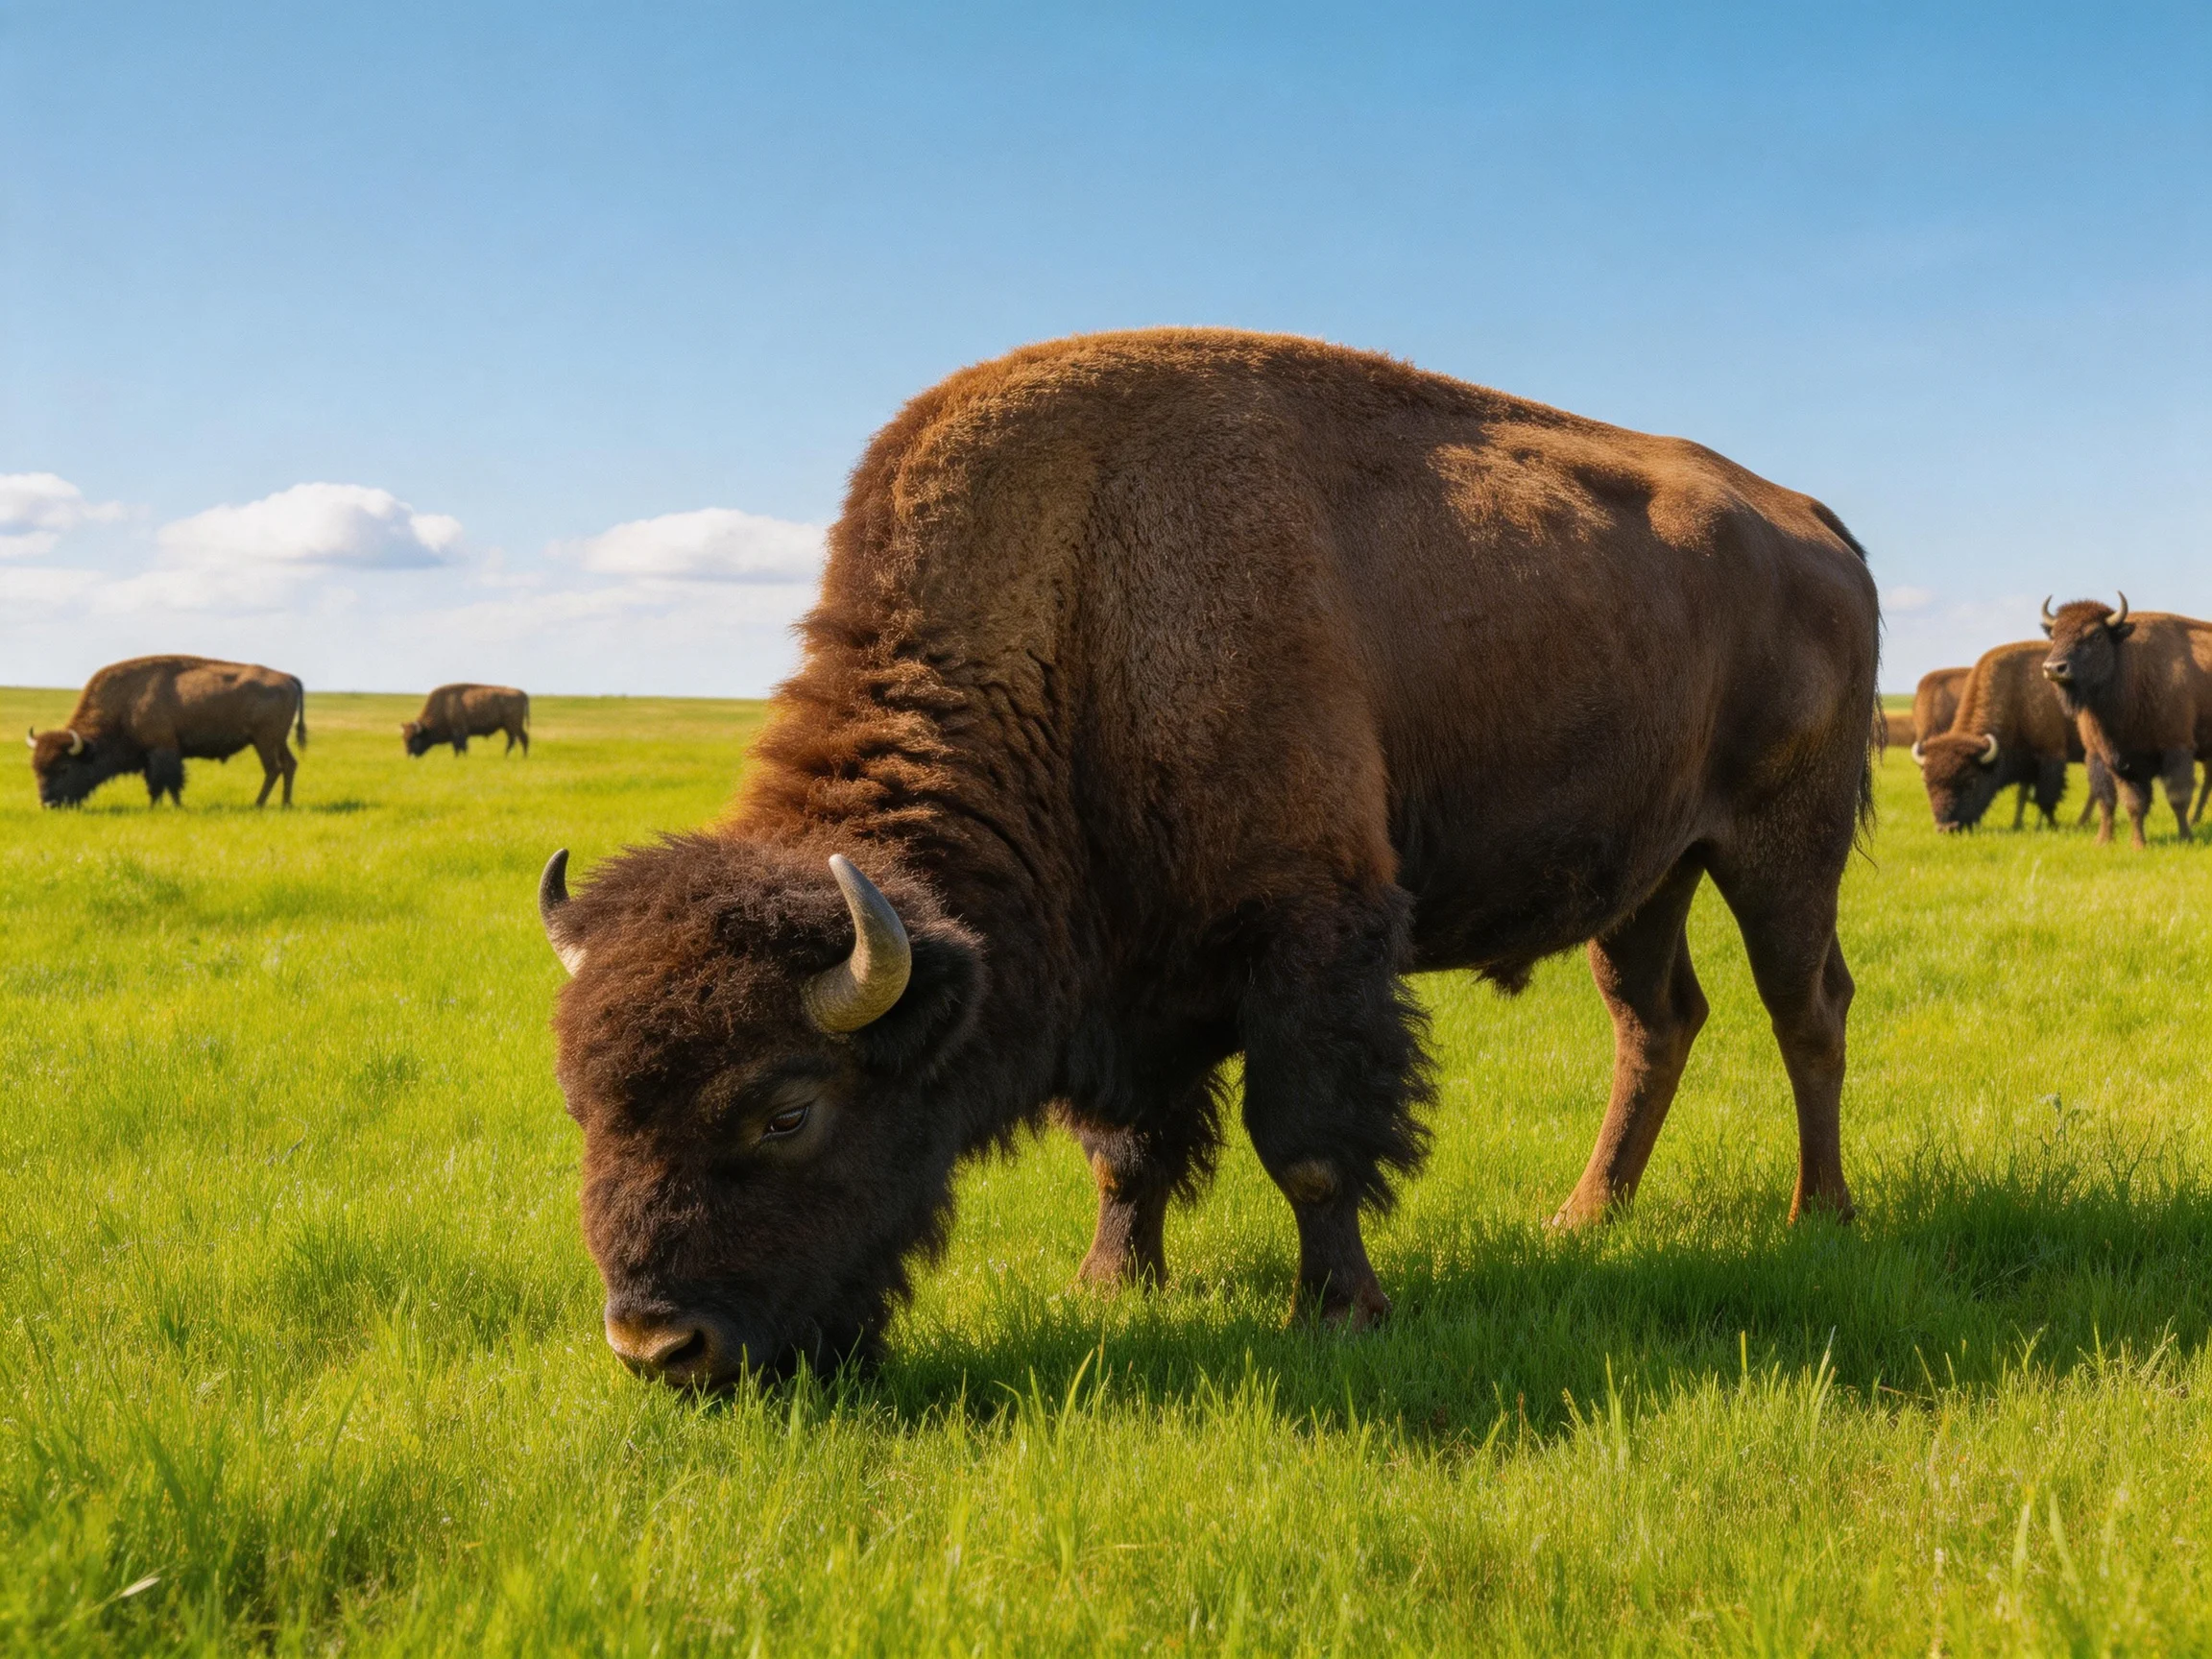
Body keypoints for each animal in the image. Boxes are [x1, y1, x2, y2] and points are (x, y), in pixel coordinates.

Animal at [28, 655, 305, 808]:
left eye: (64, 767)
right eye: (36, 769)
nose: (47, 804)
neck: (125, 704)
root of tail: (287, 677)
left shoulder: (163, 749)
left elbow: (168, 781)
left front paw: (172, 807)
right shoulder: (152, 756)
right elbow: (159, 783)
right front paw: (158, 806)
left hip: (264, 740)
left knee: (273, 769)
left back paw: (258, 804)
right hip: (278, 740)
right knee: (289, 765)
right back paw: (286, 803)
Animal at [403, 683, 531, 757]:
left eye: (415, 739)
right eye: (404, 738)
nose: (409, 755)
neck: (444, 705)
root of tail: (523, 694)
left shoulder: (459, 732)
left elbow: (461, 746)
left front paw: (461, 757)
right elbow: (459, 746)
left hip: (513, 725)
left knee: (520, 739)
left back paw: (518, 756)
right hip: (510, 726)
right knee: (516, 739)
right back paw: (509, 756)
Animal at [537, 329, 1879, 1386]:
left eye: (787, 1111)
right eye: (582, 1105)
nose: (659, 1348)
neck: (1079, 599)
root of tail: (1816, 523)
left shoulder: (1311, 938)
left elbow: (1310, 1145)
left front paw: (1337, 1315)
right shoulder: (1128, 985)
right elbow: (1127, 1152)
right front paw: (1109, 1286)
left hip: (1781, 847)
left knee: (1805, 1007)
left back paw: (1821, 1216)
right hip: (1648, 876)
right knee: (1656, 1020)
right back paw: (1584, 1219)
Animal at [1910, 640, 2111, 832]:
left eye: (1971, 782)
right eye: (1927, 783)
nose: (1946, 827)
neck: (2015, 689)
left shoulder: (2051, 755)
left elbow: (2045, 797)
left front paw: (2052, 826)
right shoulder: (2027, 763)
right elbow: (2023, 797)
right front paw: (2019, 824)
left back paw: (2083, 822)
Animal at [2041, 595, 2212, 846]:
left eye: (2096, 635)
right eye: (2054, 635)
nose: (2054, 668)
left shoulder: (2177, 748)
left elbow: (2177, 798)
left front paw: (2185, 838)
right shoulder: (2110, 758)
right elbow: (2123, 802)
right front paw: (2121, 842)